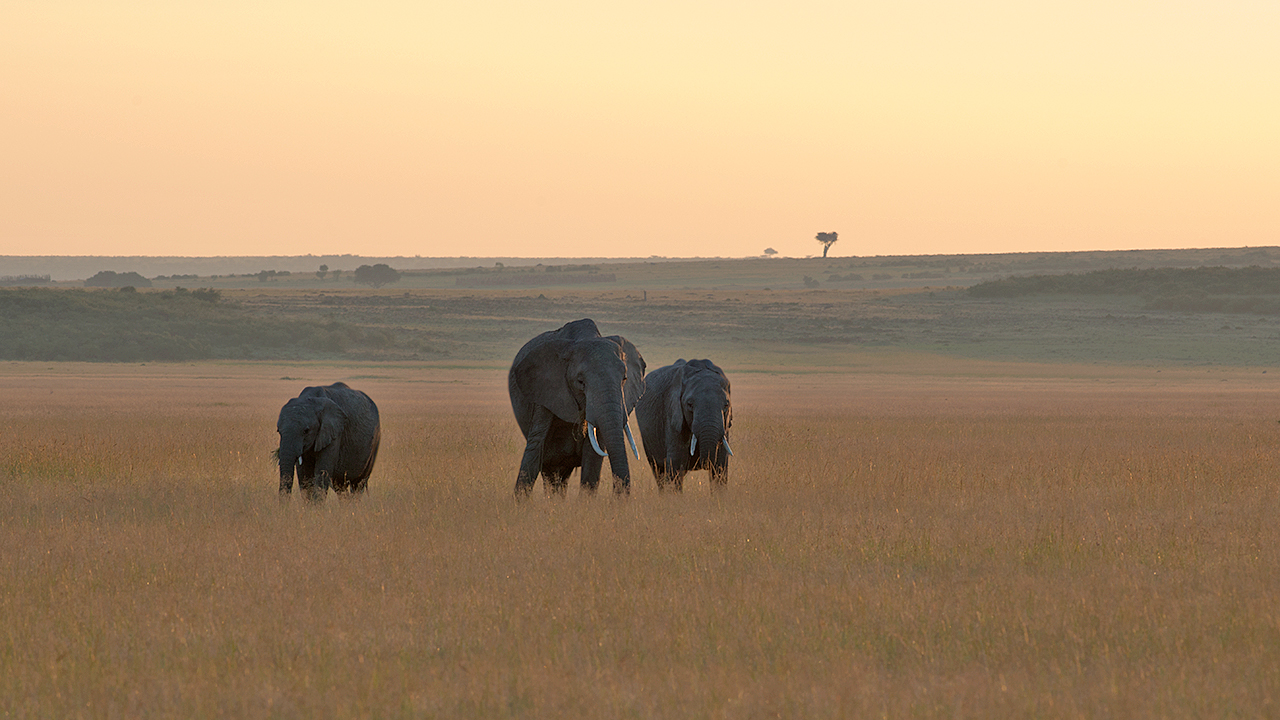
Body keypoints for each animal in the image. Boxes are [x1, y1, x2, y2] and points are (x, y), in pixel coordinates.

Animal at [637, 356, 737, 489]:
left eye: (726, 405)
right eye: (689, 404)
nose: (704, 464)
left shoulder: (725, 427)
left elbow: (720, 468)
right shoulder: (673, 417)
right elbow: (676, 466)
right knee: (659, 471)